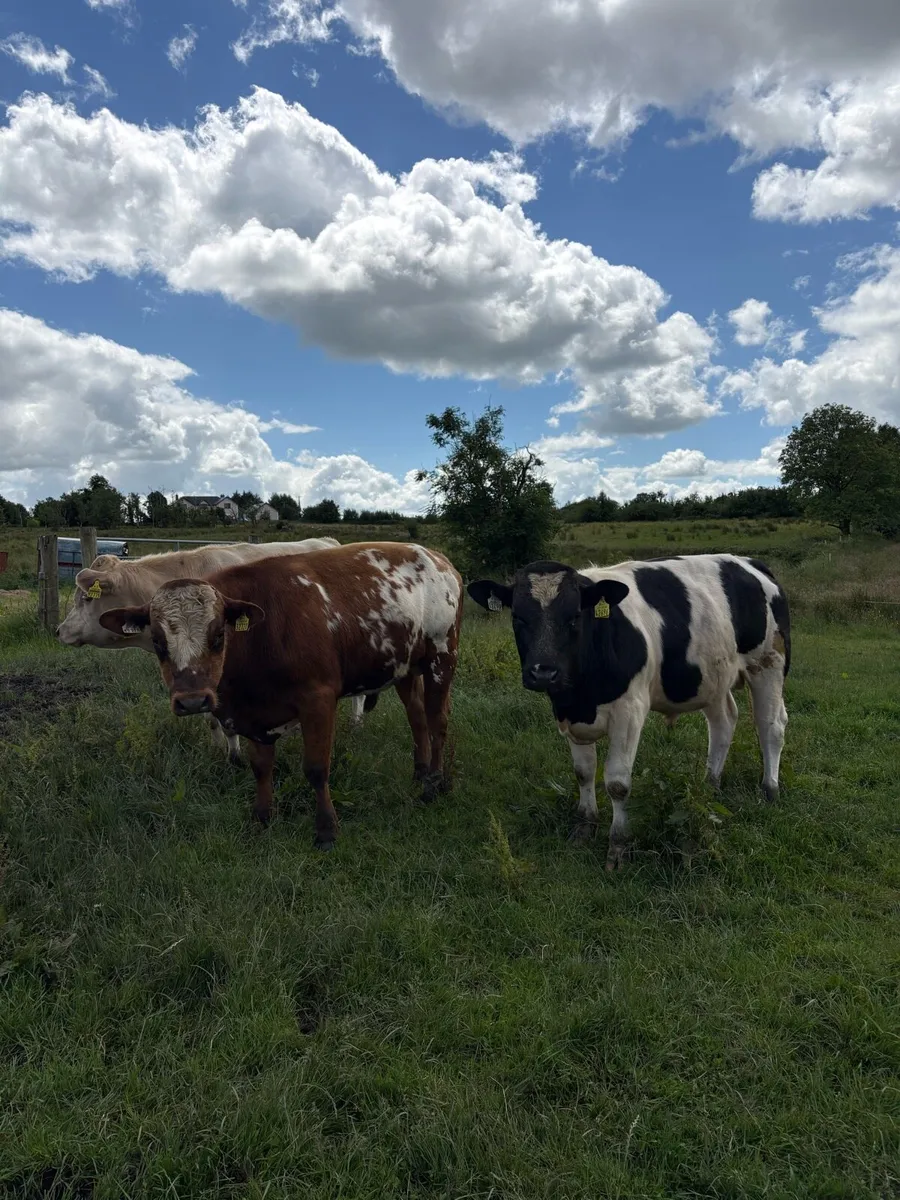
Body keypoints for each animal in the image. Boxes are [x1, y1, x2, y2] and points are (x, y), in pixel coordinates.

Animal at [55, 538, 369, 757]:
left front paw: (234, 756)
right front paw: (218, 751)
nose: (59, 631)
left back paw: (356, 722)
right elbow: (210, 718)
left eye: (86, 598)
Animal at [97, 543, 464, 849]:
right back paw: (420, 772)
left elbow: (316, 768)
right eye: (157, 642)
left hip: (442, 657)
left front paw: (326, 830)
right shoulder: (254, 712)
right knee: (417, 717)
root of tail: (437, 558)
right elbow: (261, 767)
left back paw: (435, 783)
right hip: (406, 666)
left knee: (437, 721)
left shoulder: (318, 700)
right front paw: (262, 816)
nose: (192, 701)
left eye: (218, 636)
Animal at [468, 554, 790, 870]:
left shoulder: (630, 710)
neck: (582, 695)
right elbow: (583, 772)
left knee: (771, 725)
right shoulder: (567, 712)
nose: (543, 672)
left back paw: (769, 789)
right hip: (712, 677)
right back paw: (710, 785)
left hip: (768, 662)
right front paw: (584, 827)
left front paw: (618, 846)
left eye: (574, 616)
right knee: (723, 722)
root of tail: (749, 561)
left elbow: (617, 783)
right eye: (517, 617)